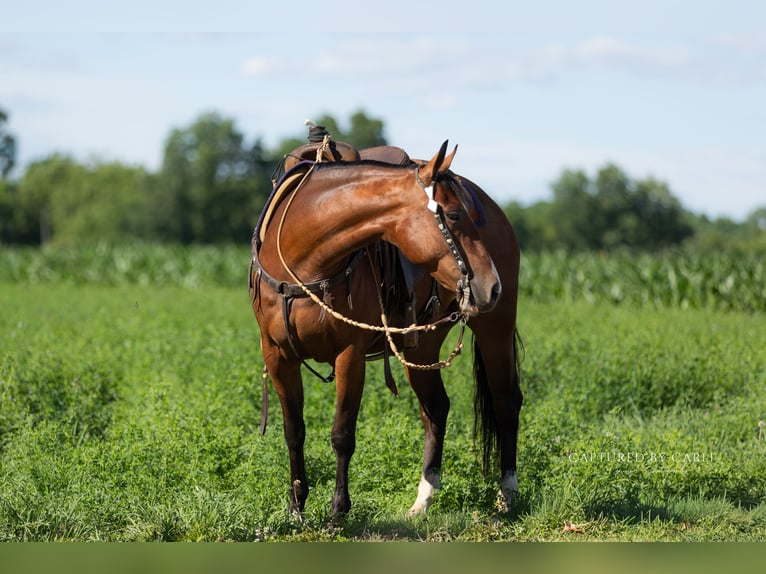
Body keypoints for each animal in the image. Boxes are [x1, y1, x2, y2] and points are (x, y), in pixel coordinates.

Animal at [250, 139, 519, 518]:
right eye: (453, 215)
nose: (491, 285)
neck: (301, 258)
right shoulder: (277, 355)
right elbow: (293, 431)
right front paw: (296, 507)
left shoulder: (349, 355)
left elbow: (342, 434)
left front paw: (338, 511)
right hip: (422, 346)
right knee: (437, 408)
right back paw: (423, 499)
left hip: (496, 328)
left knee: (506, 401)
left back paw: (507, 492)